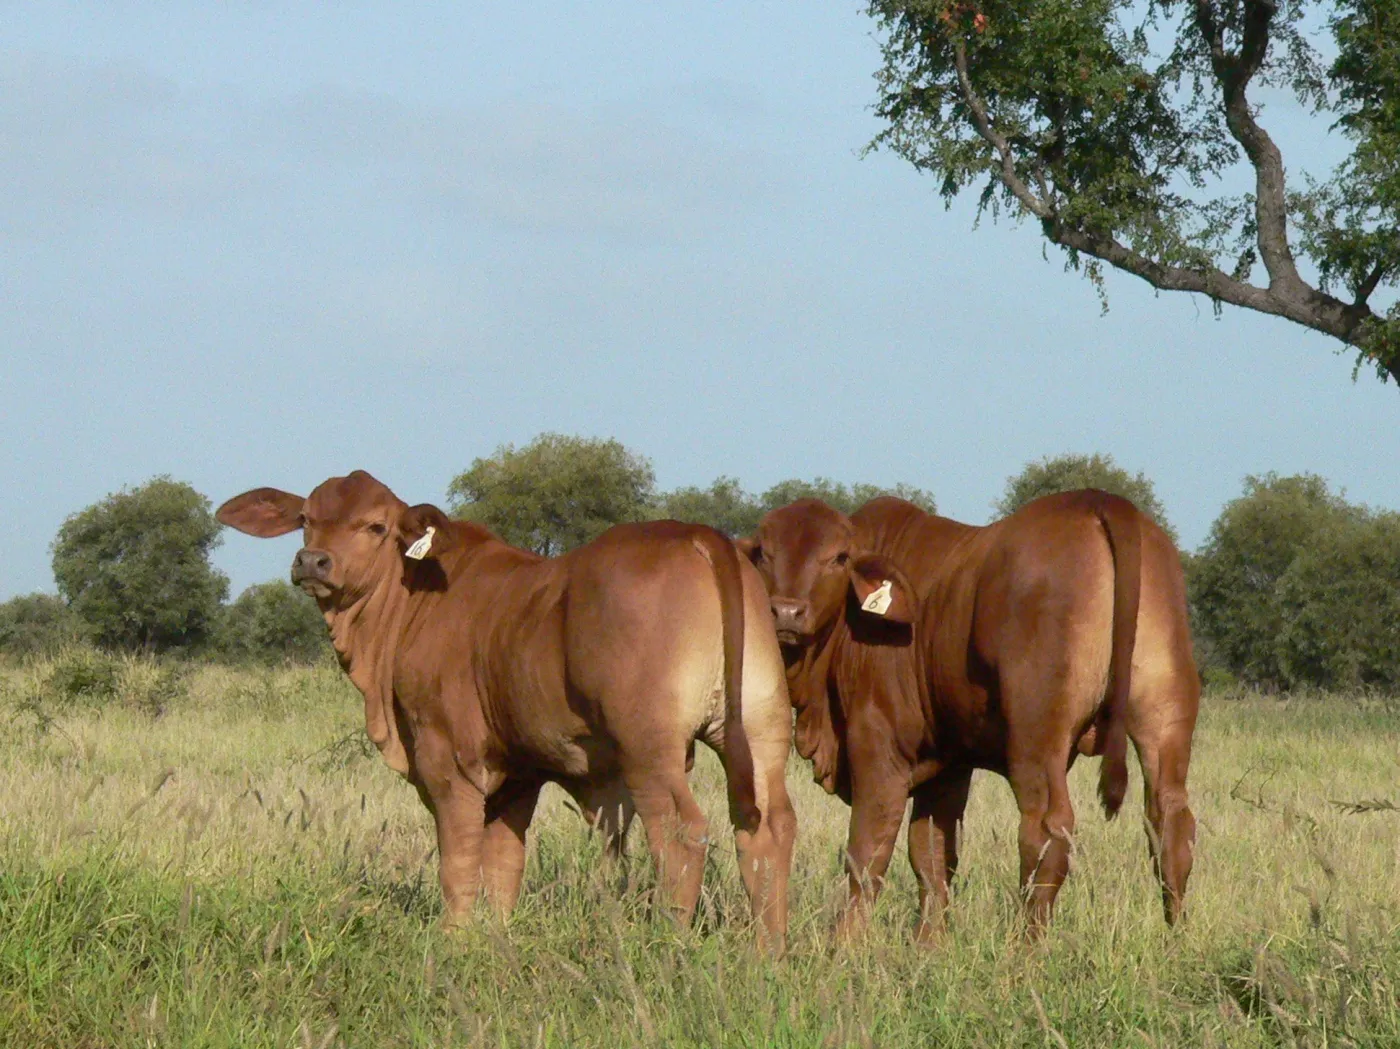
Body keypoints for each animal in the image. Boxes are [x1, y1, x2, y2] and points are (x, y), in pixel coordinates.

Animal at [216, 471, 796, 949]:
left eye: (376, 526)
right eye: (306, 520)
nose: (313, 562)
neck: (411, 601)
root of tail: (699, 535)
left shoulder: (446, 761)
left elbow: (458, 859)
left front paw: (453, 939)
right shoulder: (516, 773)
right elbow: (501, 864)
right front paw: (493, 935)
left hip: (649, 751)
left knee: (680, 834)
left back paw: (670, 944)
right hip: (760, 730)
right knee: (769, 828)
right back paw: (768, 951)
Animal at [741, 492, 1198, 941]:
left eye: (838, 557)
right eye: (763, 552)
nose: (787, 612)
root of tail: (1098, 500)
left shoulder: (878, 749)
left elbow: (867, 854)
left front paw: (845, 947)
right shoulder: (947, 765)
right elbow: (930, 854)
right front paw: (929, 946)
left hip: (1035, 740)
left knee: (1046, 832)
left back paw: (1024, 949)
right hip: (1164, 717)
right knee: (1169, 823)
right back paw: (1175, 940)